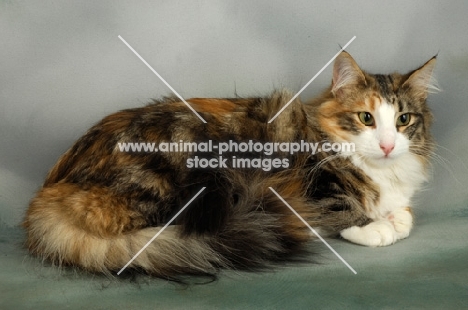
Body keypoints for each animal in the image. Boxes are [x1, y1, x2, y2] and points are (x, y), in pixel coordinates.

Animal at [22, 51, 438, 278]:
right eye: (366, 118)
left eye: (403, 120)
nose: (387, 144)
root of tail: (51, 188)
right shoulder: (311, 181)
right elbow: (343, 207)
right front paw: (377, 226)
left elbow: (401, 210)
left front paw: (396, 216)